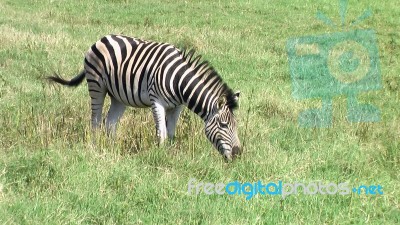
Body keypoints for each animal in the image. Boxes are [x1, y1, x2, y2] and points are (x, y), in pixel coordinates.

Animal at [47, 33, 241, 160]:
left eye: (235, 125)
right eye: (224, 125)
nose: (238, 154)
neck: (179, 82)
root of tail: (102, 38)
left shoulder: (178, 106)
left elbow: (171, 133)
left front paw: (170, 154)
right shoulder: (157, 101)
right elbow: (162, 132)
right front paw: (161, 156)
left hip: (119, 96)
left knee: (110, 123)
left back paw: (113, 149)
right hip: (96, 85)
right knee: (95, 120)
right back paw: (95, 146)